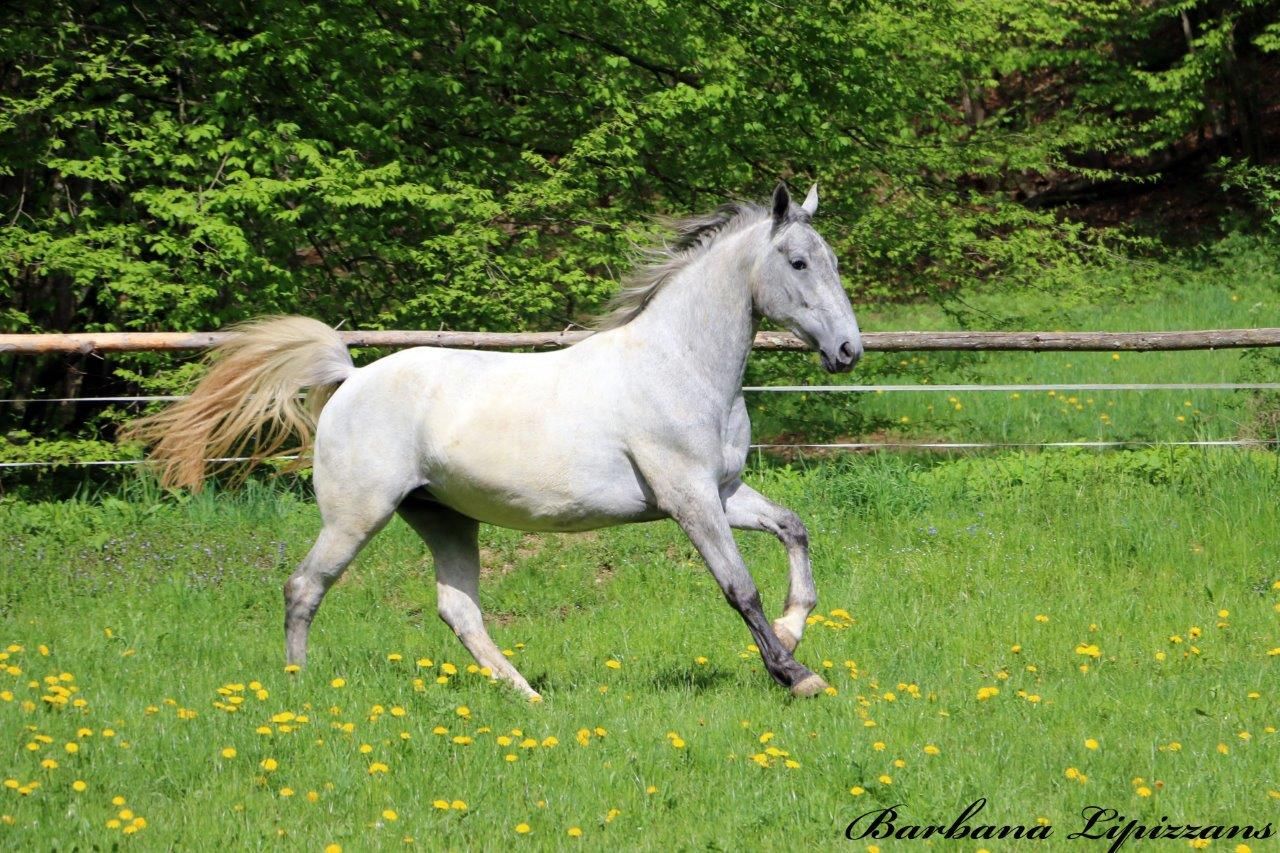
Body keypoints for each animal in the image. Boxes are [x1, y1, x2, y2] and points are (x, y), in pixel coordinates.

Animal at [126, 183, 862, 699]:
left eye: (833, 261)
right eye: (799, 262)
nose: (849, 351)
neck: (678, 364)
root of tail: (352, 378)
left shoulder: (724, 491)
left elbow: (794, 529)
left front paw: (795, 628)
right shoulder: (688, 498)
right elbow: (739, 587)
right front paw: (797, 674)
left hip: (443, 517)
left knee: (458, 609)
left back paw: (527, 695)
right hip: (356, 514)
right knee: (304, 586)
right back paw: (297, 688)